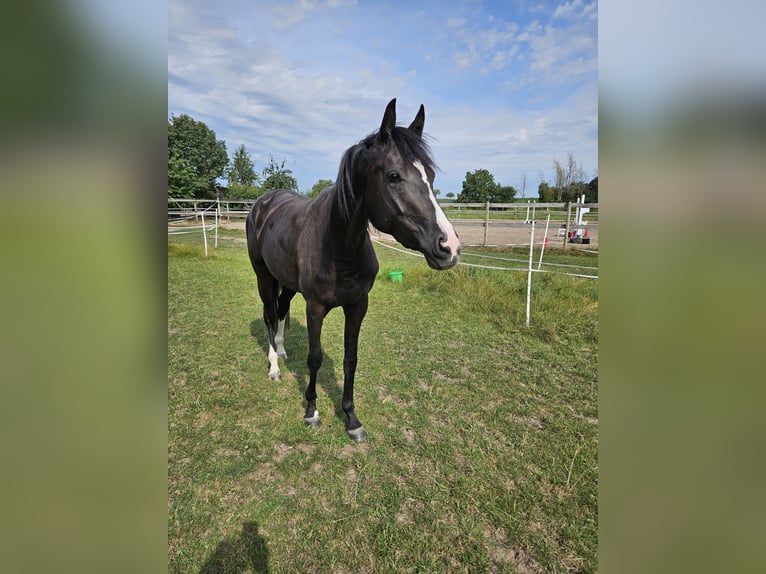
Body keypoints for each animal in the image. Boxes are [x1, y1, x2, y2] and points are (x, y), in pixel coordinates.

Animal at [248, 99, 462, 444]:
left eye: (429, 175)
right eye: (393, 176)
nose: (450, 247)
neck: (339, 246)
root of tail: (264, 202)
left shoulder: (358, 306)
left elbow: (351, 359)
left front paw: (351, 418)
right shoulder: (314, 307)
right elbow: (315, 357)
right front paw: (311, 412)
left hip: (287, 282)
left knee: (280, 311)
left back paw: (281, 352)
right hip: (264, 277)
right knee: (269, 314)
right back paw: (274, 367)